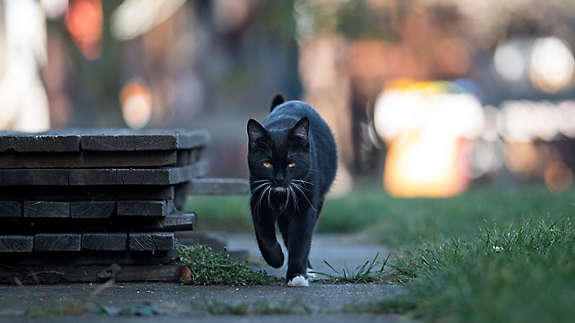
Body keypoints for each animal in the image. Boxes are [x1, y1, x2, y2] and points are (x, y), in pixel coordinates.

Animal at [246, 94, 338, 288]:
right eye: (267, 164)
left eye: (291, 163)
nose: (279, 179)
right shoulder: (258, 199)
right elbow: (264, 235)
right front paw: (276, 259)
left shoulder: (305, 204)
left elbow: (301, 239)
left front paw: (297, 276)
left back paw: (307, 269)